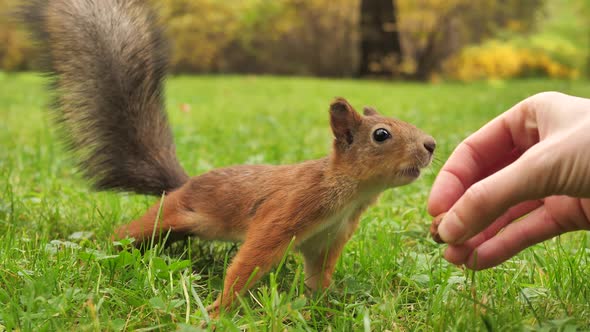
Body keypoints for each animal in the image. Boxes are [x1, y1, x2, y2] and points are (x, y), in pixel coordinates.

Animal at [23, 0, 434, 316]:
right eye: (381, 135)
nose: (431, 144)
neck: (349, 193)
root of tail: (185, 184)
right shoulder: (288, 209)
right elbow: (252, 258)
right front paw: (220, 311)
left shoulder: (329, 238)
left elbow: (319, 273)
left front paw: (322, 306)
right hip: (173, 214)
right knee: (128, 234)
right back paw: (92, 254)